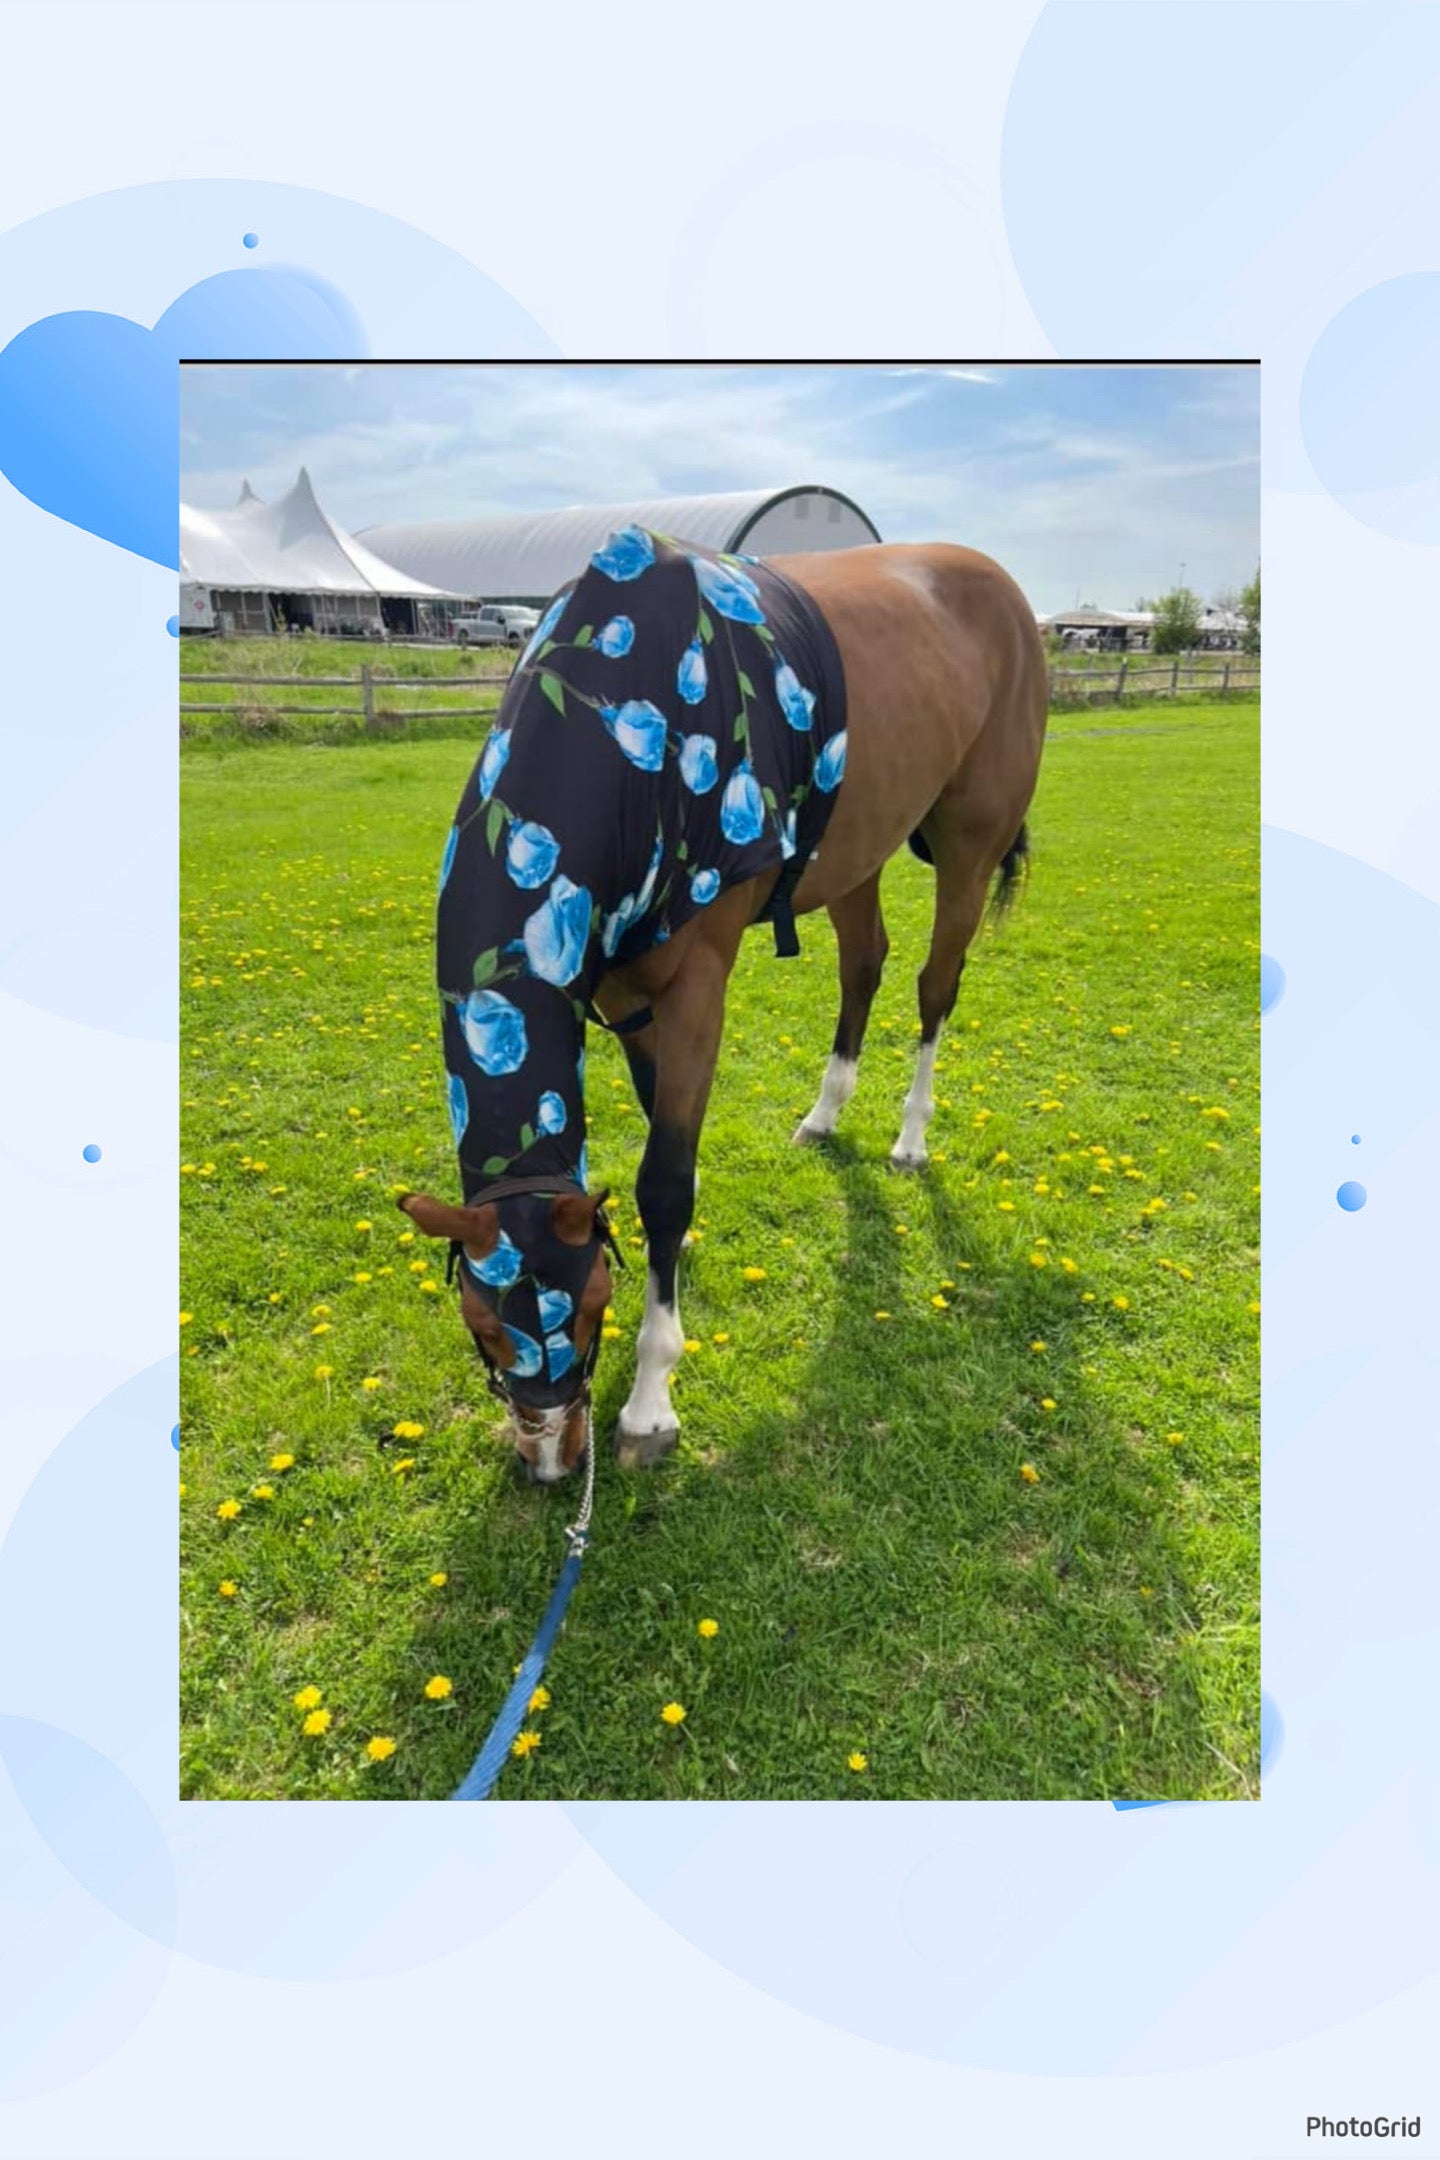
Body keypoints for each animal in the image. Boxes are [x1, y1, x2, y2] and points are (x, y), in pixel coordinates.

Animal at [396, 527, 1047, 1482]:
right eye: (482, 1328)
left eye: (590, 1308)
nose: (552, 1462)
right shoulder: (622, 989)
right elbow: (661, 1147)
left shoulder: (697, 981)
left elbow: (663, 1183)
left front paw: (650, 1399)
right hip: (857, 846)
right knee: (864, 967)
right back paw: (825, 1113)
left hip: (970, 841)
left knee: (936, 985)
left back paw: (910, 1135)